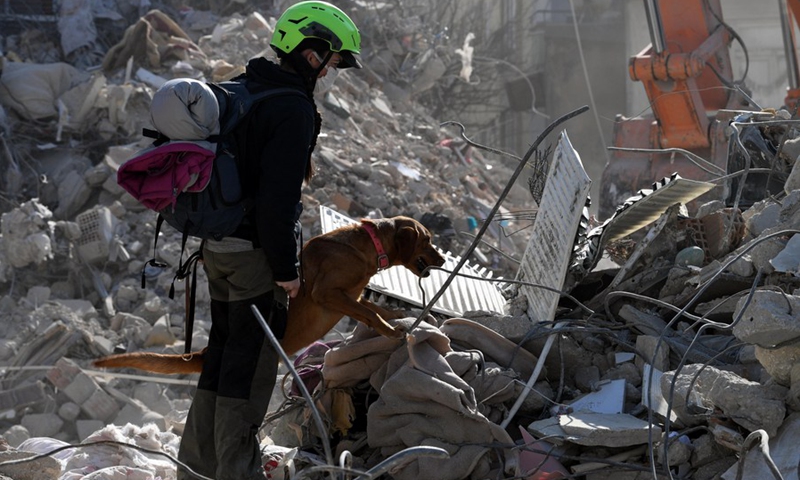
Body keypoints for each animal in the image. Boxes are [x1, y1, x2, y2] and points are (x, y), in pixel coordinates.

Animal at [94, 217, 446, 376]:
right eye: (428, 239)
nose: (442, 260)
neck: (368, 244)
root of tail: (204, 353)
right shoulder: (328, 294)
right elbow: (372, 314)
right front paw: (391, 332)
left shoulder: (352, 297)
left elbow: (375, 309)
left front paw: (404, 318)